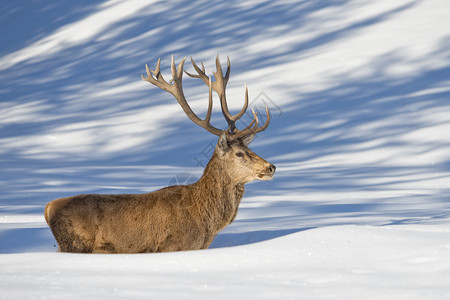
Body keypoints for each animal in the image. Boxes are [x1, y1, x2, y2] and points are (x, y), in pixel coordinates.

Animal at [46, 55, 278, 253]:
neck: (204, 220)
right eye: (239, 153)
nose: (271, 167)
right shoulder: (171, 246)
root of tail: (48, 209)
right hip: (76, 244)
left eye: (250, 148)